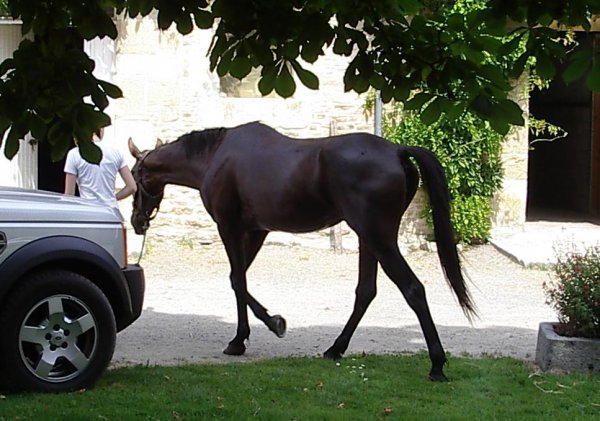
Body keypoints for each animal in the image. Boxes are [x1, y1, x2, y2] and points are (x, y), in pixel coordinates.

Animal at [129, 120, 476, 378]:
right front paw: (258, 329)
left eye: (134, 176)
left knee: (413, 289)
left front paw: (254, 333)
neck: (216, 156)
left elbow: (237, 281)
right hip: (368, 239)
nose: (137, 221)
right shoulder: (257, 231)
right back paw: (336, 348)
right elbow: (238, 280)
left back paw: (436, 364)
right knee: (366, 291)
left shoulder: (230, 228)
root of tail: (397, 151)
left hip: (379, 238)